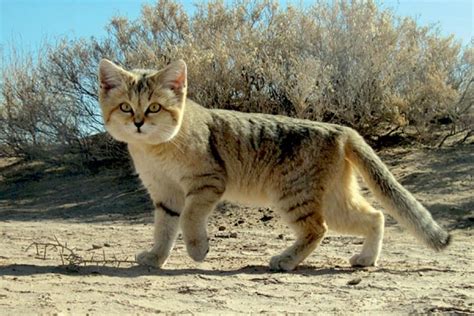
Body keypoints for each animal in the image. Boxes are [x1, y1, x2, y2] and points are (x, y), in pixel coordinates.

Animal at [98, 59, 450, 272]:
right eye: (126, 107)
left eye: (155, 107)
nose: (139, 123)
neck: (155, 148)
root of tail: (342, 129)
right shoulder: (165, 195)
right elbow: (164, 229)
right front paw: (154, 258)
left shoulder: (207, 182)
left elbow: (189, 218)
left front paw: (198, 250)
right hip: (334, 201)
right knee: (375, 216)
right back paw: (365, 259)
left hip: (293, 195)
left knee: (317, 229)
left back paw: (286, 260)